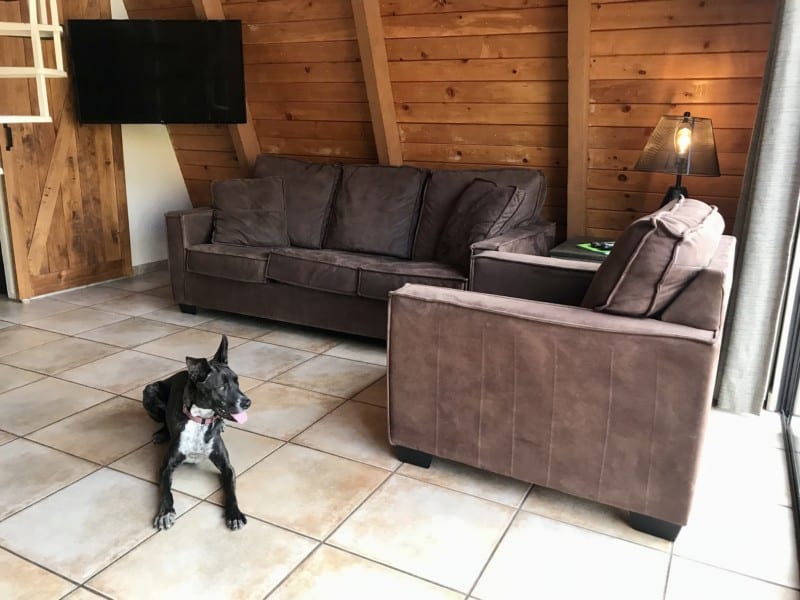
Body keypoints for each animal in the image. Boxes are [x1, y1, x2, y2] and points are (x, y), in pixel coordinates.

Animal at [142, 338, 250, 528]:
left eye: (237, 382)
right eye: (222, 387)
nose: (248, 402)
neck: (200, 420)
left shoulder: (227, 467)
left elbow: (231, 490)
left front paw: (235, 514)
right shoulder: (165, 467)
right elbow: (166, 492)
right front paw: (165, 513)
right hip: (150, 390)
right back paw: (161, 434)